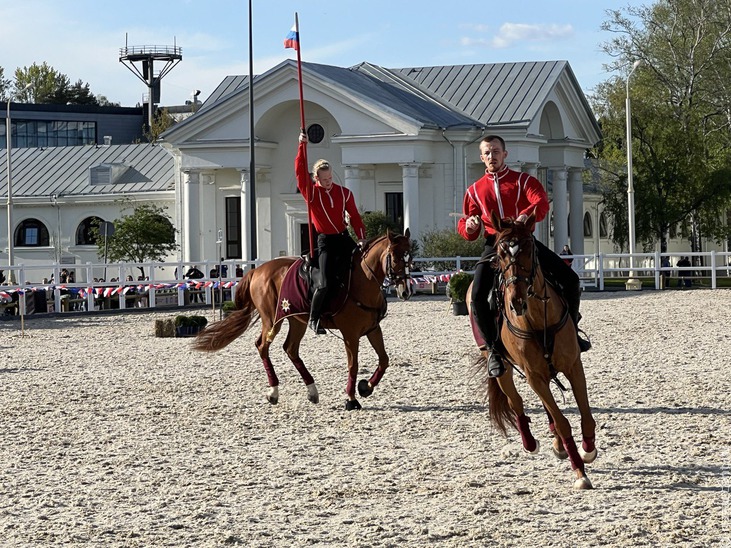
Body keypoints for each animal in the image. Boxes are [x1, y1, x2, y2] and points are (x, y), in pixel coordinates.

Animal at [193, 228, 412, 412]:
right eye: (395, 259)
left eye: (410, 258)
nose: (405, 292)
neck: (361, 280)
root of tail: (257, 270)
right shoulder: (350, 334)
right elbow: (353, 365)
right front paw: (351, 399)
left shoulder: (373, 329)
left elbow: (384, 360)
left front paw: (366, 387)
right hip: (272, 319)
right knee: (263, 345)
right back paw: (273, 392)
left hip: (296, 320)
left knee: (290, 348)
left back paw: (312, 391)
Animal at [474, 212, 600, 490]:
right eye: (500, 254)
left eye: (530, 249)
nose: (516, 301)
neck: (536, 319)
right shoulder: (533, 375)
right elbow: (563, 422)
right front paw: (579, 470)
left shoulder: (574, 366)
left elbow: (585, 414)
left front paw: (587, 449)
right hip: (505, 369)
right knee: (517, 402)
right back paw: (530, 442)